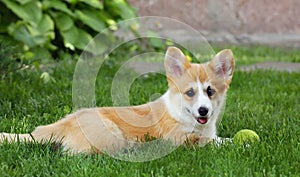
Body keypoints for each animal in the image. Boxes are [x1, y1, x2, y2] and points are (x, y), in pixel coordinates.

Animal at [0, 46, 234, 153]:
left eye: (210, 91)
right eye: (190, 93)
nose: (203, 111)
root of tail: (64, 123)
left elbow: (216, 138)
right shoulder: (179, 139)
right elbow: (210, 141)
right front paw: (237, 143)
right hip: (110, 136)